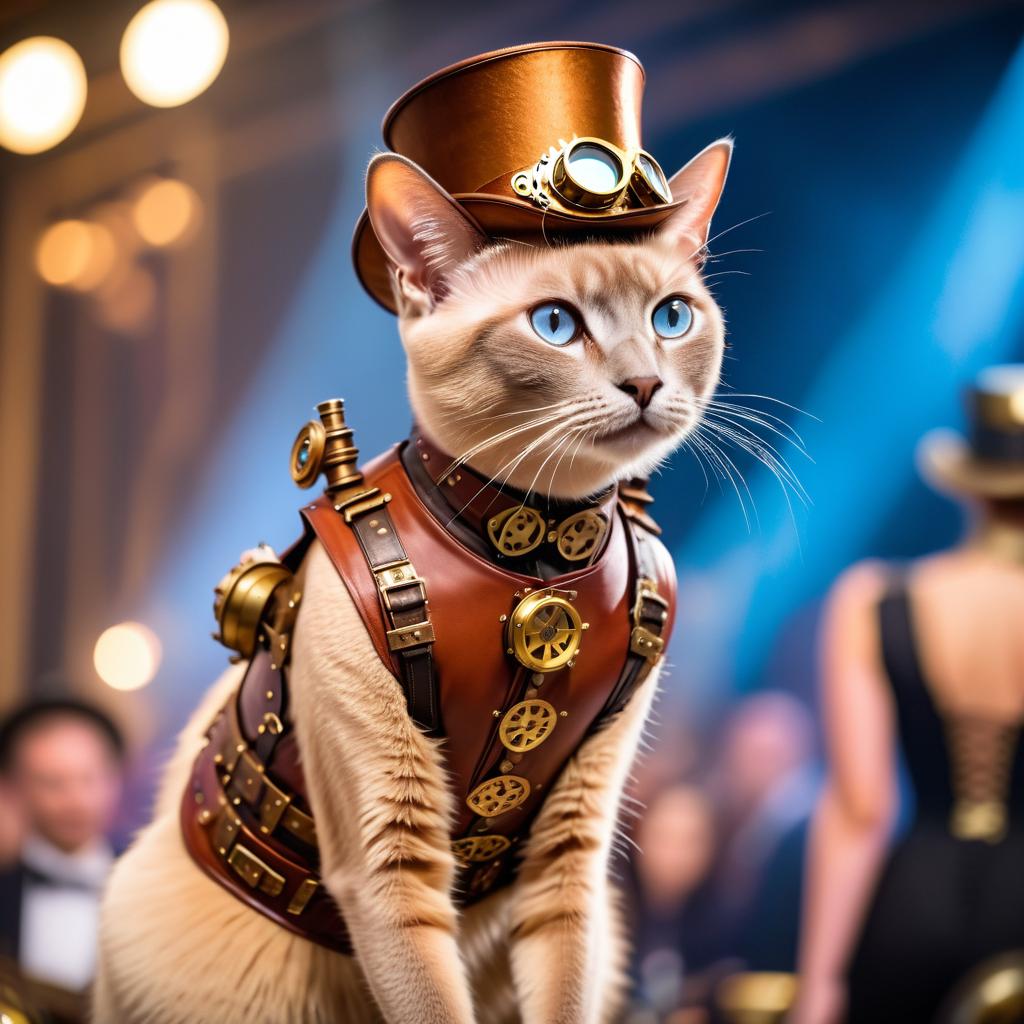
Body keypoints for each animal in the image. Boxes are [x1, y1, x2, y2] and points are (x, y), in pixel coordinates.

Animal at [96, 138, 733, 1024]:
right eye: (555, 324)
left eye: (672, 317)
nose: (645, 384)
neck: (534, 553)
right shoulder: (388, 858)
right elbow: (430, 998)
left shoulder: (571, 854)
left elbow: (563, 987)